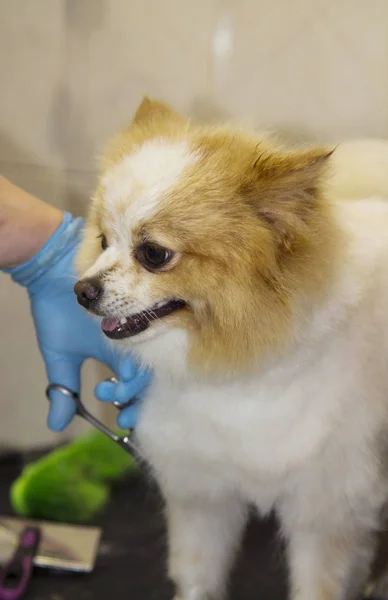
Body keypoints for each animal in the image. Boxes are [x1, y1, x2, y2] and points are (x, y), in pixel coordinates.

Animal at [74, 98, 388, 600]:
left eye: (154, 254)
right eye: (103, 241)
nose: (81, 291)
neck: (238, 374)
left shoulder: (326, 509)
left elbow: (318, 582)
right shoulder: (204, 493)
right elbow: (199, 575)